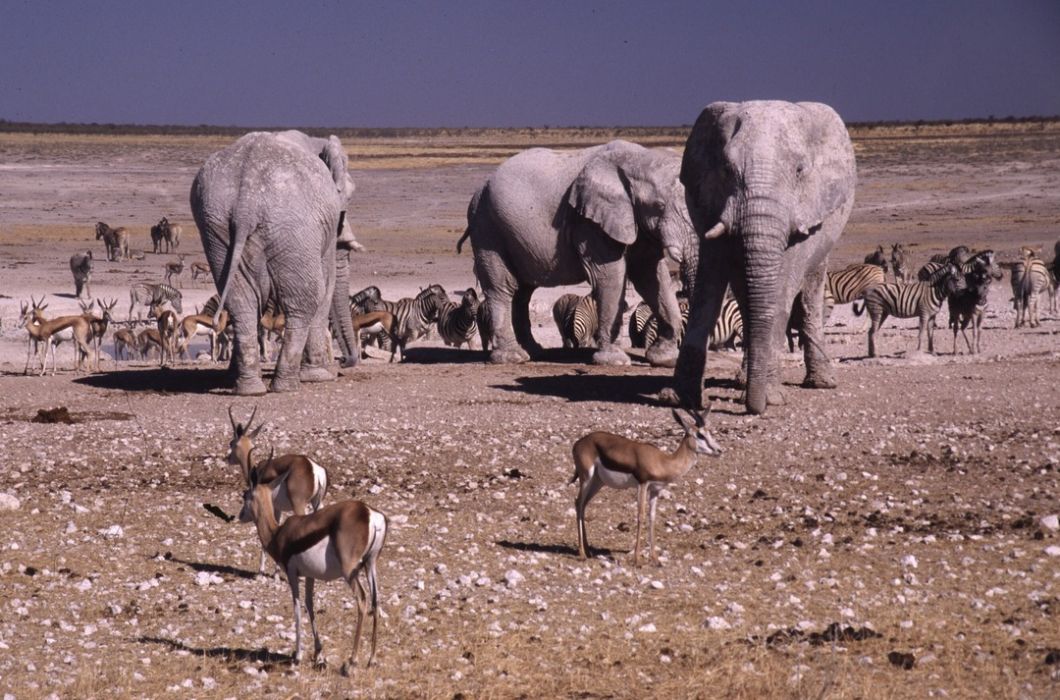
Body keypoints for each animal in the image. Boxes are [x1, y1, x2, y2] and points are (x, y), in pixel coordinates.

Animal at [193, 130, 364, 394]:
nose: (344, 362)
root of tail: (246, 202)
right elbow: (327, 286)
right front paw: (321, 376)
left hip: (216, 226)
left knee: (241, 301)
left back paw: (249, 389)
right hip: (292, 225)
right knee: (304, 300)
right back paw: (289, 385)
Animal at [460, 136, 699, 366]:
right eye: (659, 206)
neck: (639, 158)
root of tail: (479, 190)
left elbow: (650, 274)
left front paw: (665, 358)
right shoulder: (588, 222)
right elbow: (610, 275)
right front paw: (614, 361)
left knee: (523, 292)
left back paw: (533, 351)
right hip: (488, 228)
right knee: (503, 287)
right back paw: (512, 357)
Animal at [669, 101, 860, 413]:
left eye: (799, 170)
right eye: (726, 169)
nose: (753, 408)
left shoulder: (804, 211)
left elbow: (782, 291)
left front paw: (770, 398)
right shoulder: (707, 200)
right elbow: (709, 284)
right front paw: (678, 397)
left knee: (810, 290)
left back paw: (820, 383)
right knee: (746, 298)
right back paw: (742, 382)